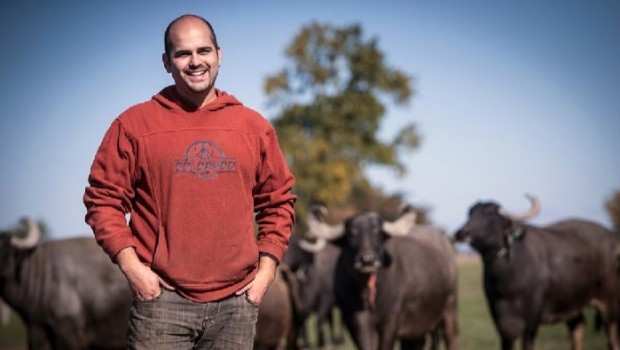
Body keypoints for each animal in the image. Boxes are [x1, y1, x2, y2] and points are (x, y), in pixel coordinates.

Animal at [308, 205, 458, 350]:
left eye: (378, 233)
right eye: (351, 233)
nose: (367, 260)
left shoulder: (390, 323)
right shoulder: (356, 323)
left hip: (449, 310)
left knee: (450, 339)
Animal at [450, 194, 620, 350]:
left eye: (490, 214)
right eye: (471, 213)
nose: (461, 233)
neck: (508, 285)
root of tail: (612, 241)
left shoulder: (532, 321)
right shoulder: (501, 324)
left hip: (609, 304)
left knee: (612, 339)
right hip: (573, 304)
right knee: (578, 330)